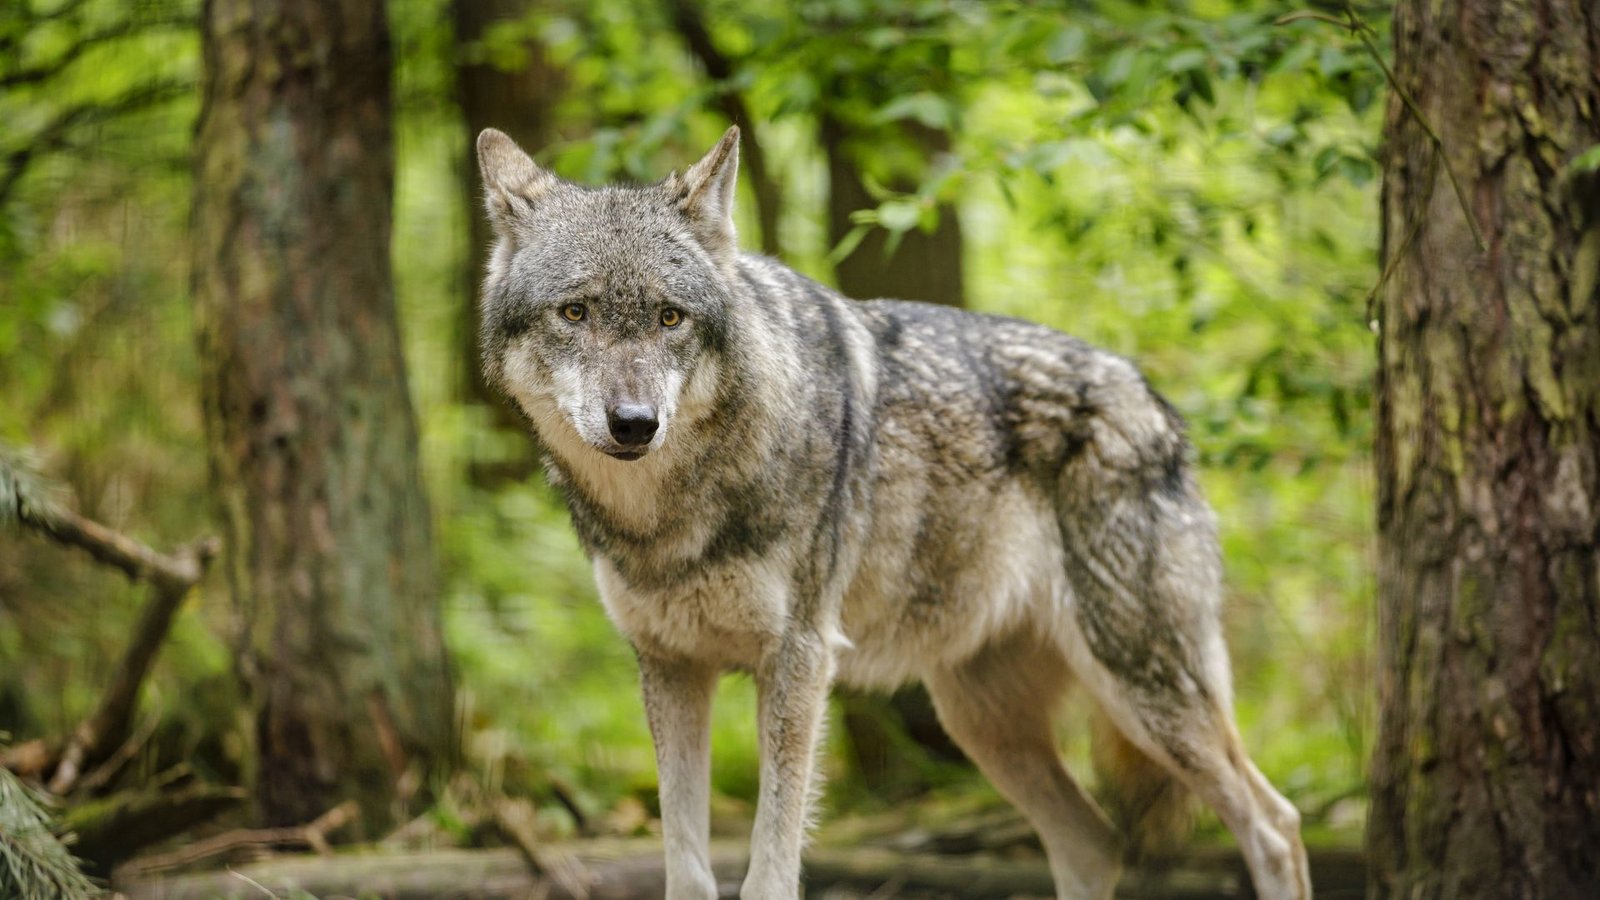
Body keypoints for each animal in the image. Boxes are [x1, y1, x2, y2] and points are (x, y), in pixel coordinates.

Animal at [474, 125, 1312, 900]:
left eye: (670, 319)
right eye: (575, 312)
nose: (634, 424)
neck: (671, 515)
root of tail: (1157, 403)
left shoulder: (800, 662)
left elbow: (769, 870)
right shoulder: (671, 665)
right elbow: (688, 870)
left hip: (1142, 691)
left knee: (1275, 826)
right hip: (984, 721)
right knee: (1094, 844)